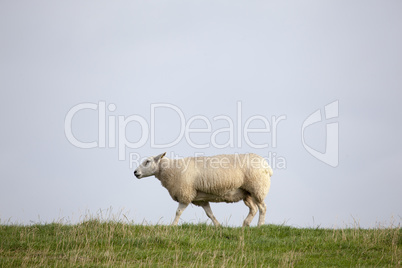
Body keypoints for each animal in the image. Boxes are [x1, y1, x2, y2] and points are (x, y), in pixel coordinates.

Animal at [133, 153, 272, 226]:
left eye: (147, 161)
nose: (135, 172)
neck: (172, 169)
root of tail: (267, 165)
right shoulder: (201, 199)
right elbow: (210, 214)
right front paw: (218, 226)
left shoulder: (185, 194)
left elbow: (178, 212)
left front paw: (172, 225)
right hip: (247, 193)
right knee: (253, 209)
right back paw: (245, 225)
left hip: (257, 188)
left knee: (262, 208)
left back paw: (260, 226)